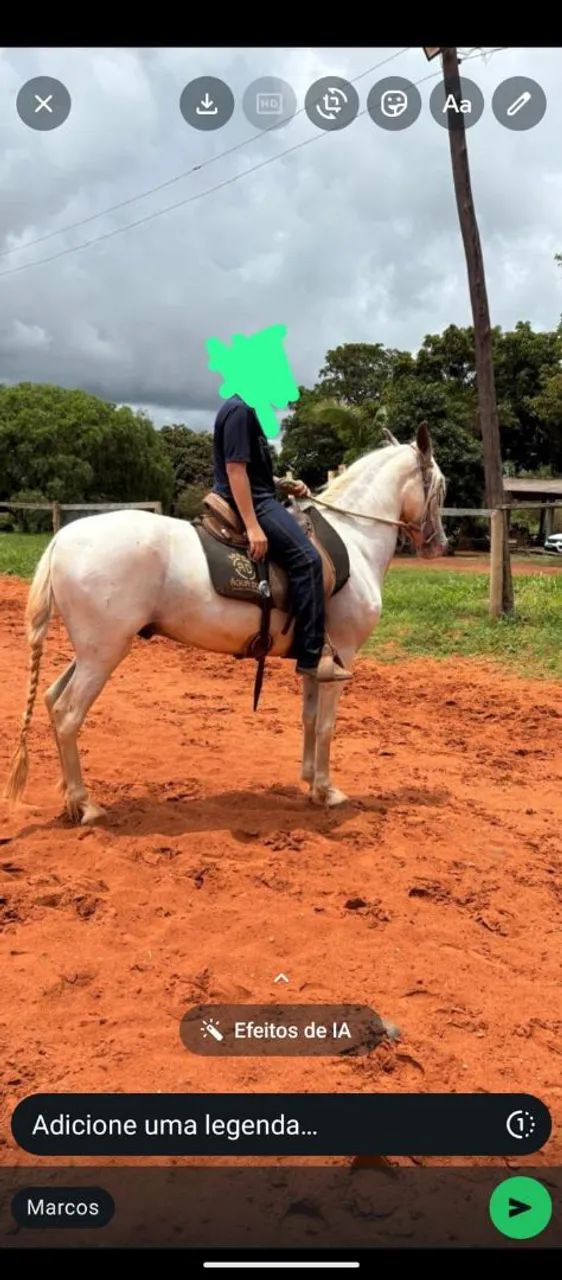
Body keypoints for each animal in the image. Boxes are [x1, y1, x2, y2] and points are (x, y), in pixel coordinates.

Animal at [6, 422, 447, 824]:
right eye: (441, 487)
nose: (439, 544)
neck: (355, 539)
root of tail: (62, 539)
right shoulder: (343, 655)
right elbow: (326, 724)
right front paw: (326, 790)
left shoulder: (315, 659)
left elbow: (308, 718)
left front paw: (308, 782)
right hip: (104, 654)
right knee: (68, 714)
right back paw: (85, 805)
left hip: (92, 651)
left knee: (50, 700)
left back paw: (70, 798)